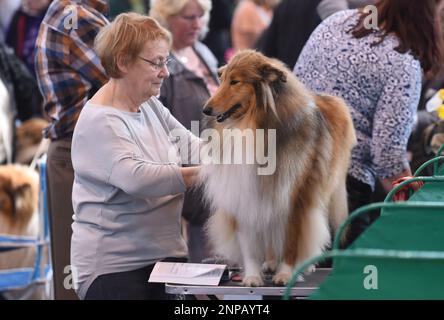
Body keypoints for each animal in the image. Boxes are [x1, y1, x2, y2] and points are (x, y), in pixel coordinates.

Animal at [199, 50, 356, 288]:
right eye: (222, 78)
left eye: (235, 81)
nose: (206, 109)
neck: (253, 126)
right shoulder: (244, 191)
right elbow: (249, 244)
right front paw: (252, 276)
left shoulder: (296, 196)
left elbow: (292, 239)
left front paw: (286, 274)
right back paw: (271, 262)